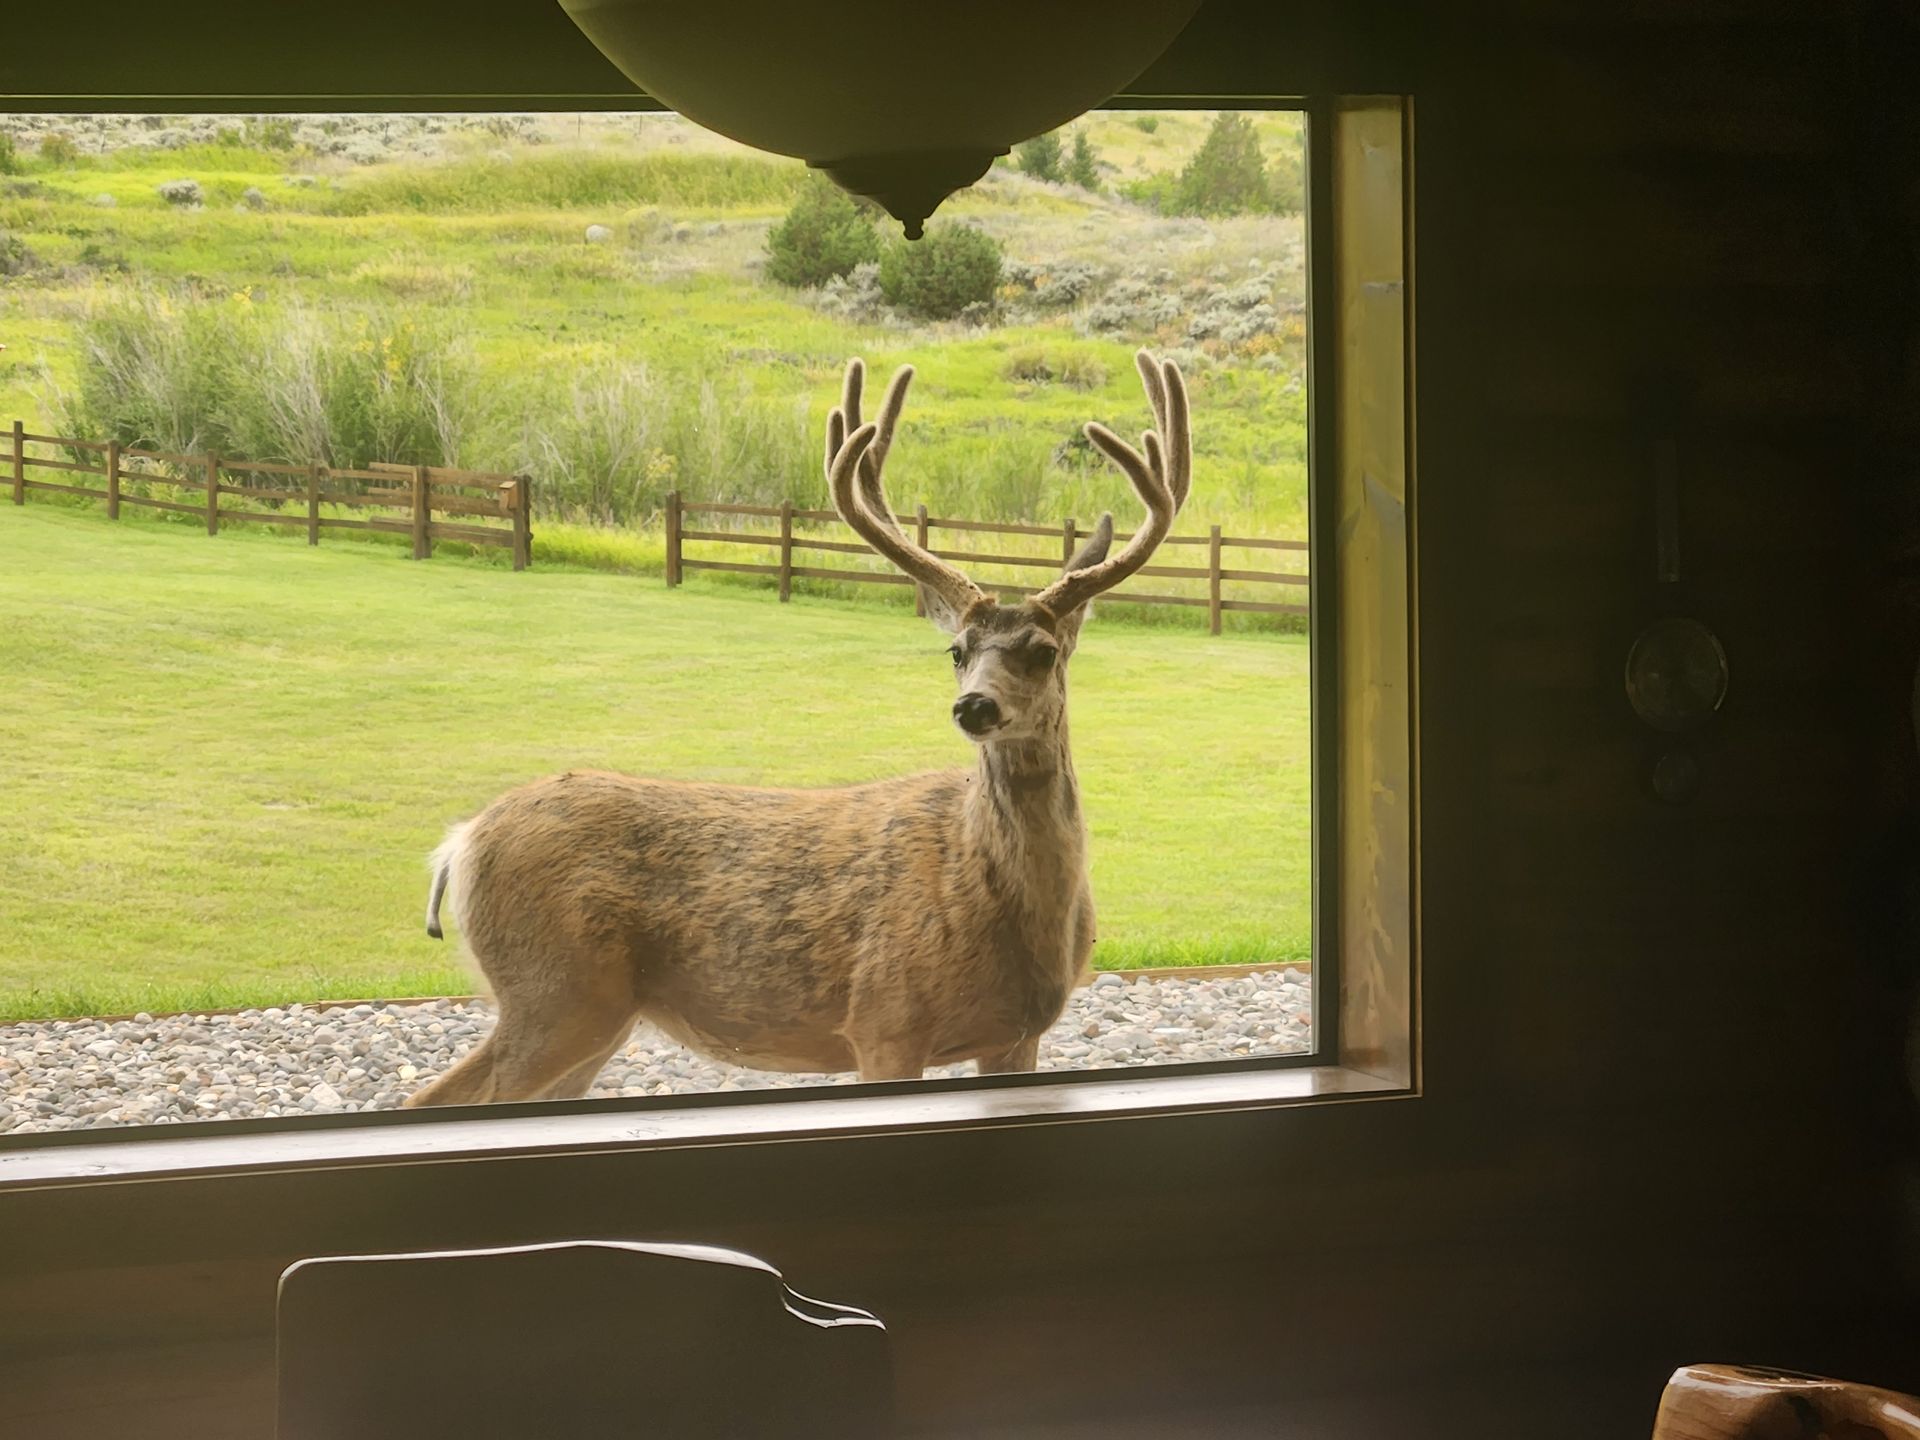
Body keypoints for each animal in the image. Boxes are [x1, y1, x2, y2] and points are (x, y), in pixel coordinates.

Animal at [403, 349, 1190, 1106]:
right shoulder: (884, 1016)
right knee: (435, 1098)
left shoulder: (1017, 1036)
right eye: (957, 651)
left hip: (595, 1013)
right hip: (554, 991)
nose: (974, 706)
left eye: (1044, 650)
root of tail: (460, 843)